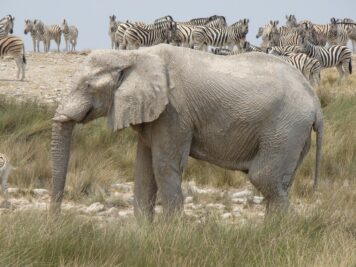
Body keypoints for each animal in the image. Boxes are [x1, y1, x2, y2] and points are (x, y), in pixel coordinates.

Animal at [50, 43, 322, 220]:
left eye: (87, 86)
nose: (56, 223)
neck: (133, 55)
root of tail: (315, 102)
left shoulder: (174, 112)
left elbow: (163, 165)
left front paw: (173, 236)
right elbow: (143, 169)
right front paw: (142, 236)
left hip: (286, 127)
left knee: (263, 177)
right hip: (293, 134)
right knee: (278, 183)